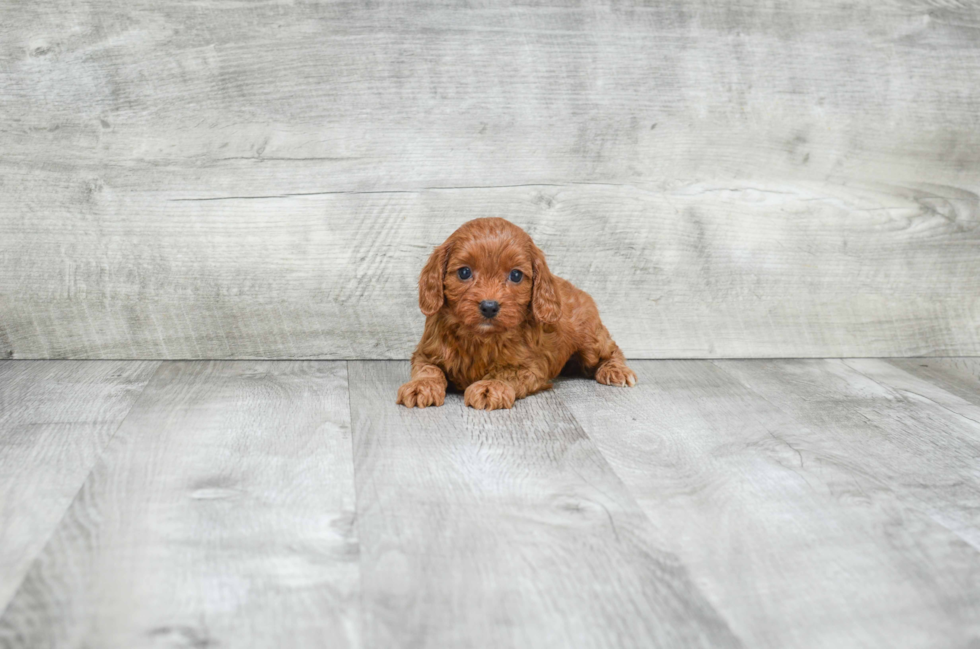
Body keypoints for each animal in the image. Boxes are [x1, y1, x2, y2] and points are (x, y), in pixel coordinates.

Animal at [394, 218, 640, 410]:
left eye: (515, 275)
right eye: (464, 272)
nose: (489, 306)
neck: (480, 338)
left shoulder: (530, 367)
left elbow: (506, 373)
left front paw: (490, 387)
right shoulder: (426, 352)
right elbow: (428, 369)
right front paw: (421, 386)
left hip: (590, 340)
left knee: (611, 350)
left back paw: (616, 371)